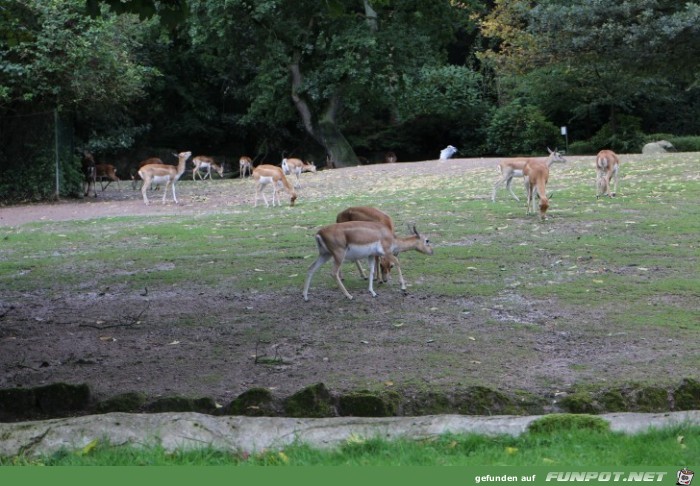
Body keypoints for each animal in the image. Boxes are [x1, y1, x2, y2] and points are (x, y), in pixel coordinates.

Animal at [304, 222, 434, 302]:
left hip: (325, 255)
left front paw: (372, 292)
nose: (432, 251)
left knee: (311, 268)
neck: (391, 238)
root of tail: (319, 233)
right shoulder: (386, 252)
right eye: (427, 240)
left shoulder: (371, 255)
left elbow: (371, 271)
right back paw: (349, 296)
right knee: (333, 273)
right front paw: (403, 288)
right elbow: (397, 262)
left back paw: (305, 296)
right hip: (338, 255)